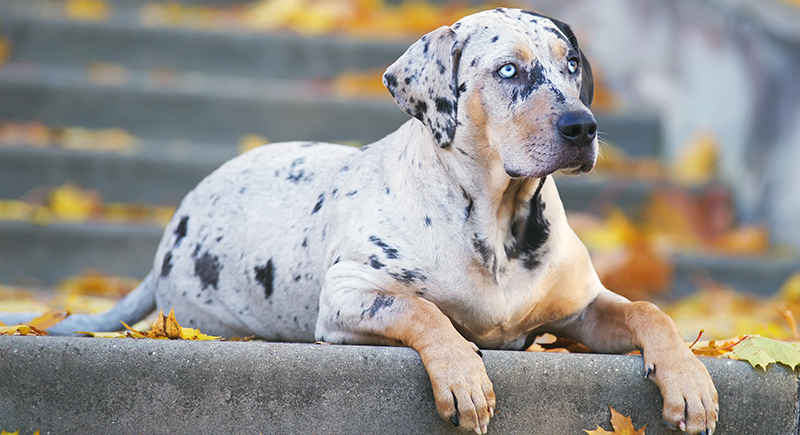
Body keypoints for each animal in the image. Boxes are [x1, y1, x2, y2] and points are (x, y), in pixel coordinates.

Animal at [12, 8, 718, 434]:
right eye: (508, 70)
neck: (498, 222)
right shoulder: (350, 297)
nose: (582, 127)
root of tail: (173, 227)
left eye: (571, 63)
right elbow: (423, 311)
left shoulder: (582, 308)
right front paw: (463, 376)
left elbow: (650, 311)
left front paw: (690, 381)